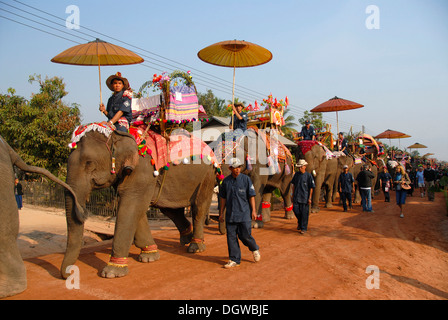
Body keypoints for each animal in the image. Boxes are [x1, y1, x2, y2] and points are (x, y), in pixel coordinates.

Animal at [61, 124, 217, 278]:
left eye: (89, 163)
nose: (69, 274)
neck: (119, 135)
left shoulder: (142, 170)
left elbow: (131, 206)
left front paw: (112, 272)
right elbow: (136, 208)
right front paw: (149, 256)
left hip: (208, 176)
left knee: (198, 208)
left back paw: (195, 247)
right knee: (170, 209)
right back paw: (186, 239)